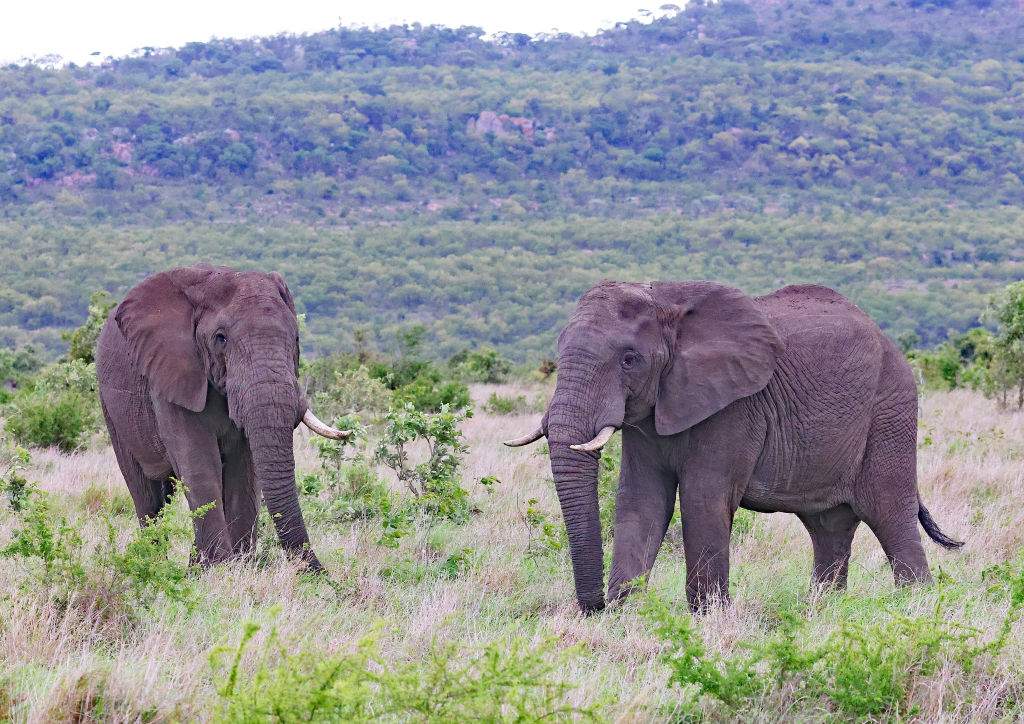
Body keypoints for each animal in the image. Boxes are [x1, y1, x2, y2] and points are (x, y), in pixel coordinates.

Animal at [96, 265, 348, 571]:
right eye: (220, 338)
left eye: (297, 339)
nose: (319, 573)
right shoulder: (173, 374)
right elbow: (200, 464)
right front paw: (219, 569)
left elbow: (244, 468)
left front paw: (238, 567)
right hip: (111, 408)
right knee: (147, 496)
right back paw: (153, 563)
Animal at [505, 281, 962, 613]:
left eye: (629, 360)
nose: (594, 606)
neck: (666, 302)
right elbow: (641, 500)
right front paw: (625, 613)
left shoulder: (735, 407)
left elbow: (703, 498)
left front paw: (707, 617)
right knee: (828, 524)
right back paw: (823, 610)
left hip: (890, 410)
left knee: (888, 512)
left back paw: (917, 607)